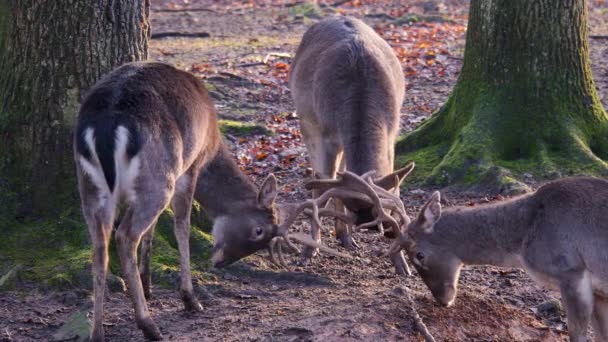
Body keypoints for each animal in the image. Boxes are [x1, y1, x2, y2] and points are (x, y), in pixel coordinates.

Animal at [73, 60, 350, 340]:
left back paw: (97, 331)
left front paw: (147, 284)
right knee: (125, 235)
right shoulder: (191, 166)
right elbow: (182, 227)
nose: (221, 262)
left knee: (100, 247)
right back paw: (149, 325)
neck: (214, 143)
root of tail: (106, 126)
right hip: (158, 176)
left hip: (91, 185)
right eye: (258, 231)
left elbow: (152, 231)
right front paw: (189, 298)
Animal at [290, 16, 414, 274]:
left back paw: (345, 237)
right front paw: (309, 250)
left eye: (385, 210)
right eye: (355, 210)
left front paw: (401, 263)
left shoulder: (392, 133)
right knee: (324, 176)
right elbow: (323, 185)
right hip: (307, 121)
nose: (373, 226)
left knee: (343, 171)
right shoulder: (324, 134)